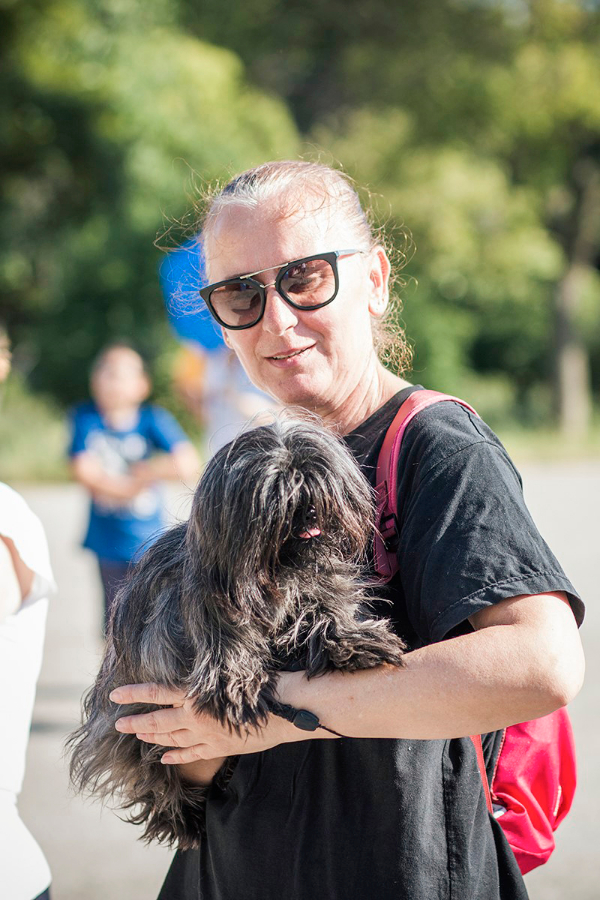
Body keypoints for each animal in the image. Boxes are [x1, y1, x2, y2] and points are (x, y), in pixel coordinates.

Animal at [68, 418, 405, 849]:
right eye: (278, 488)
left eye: (319, 477)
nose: (312, 509)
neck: (276, 574)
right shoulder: (197, 616)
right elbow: (226, 645)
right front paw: (238, 686)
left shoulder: (316, 588)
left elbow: (326, 613)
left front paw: (353, 642)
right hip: (131, 738)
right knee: (155, 780)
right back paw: (182, 818)